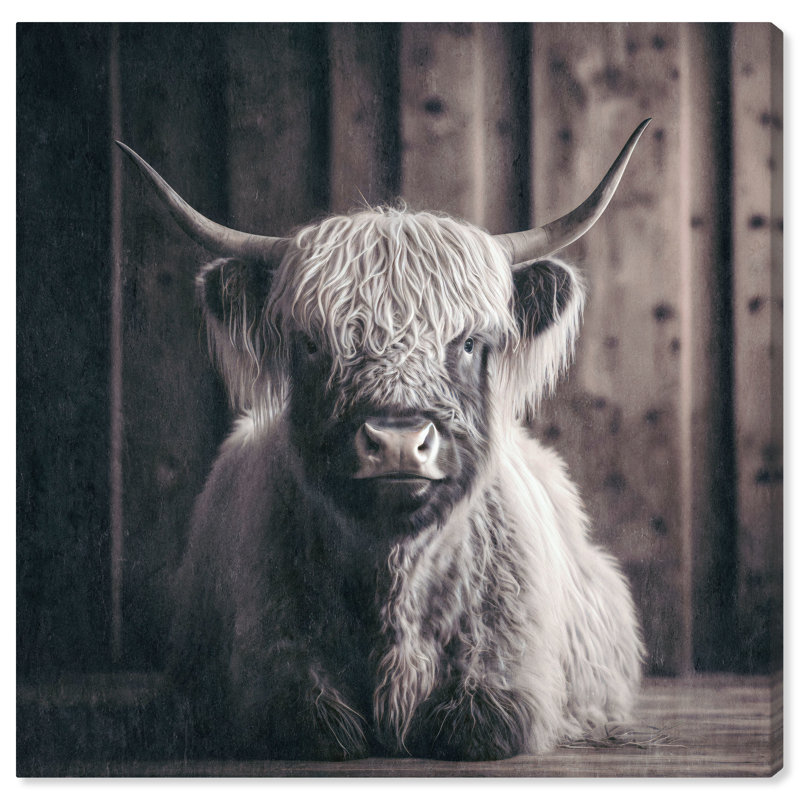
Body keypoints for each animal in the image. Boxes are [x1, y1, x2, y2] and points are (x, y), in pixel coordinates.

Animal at [118, 119, 650, 761]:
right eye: (312, 343)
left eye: (468, 342)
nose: (398, 442)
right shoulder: (274, 678)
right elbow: (313, 722)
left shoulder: (511, 683)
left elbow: (478, 723)